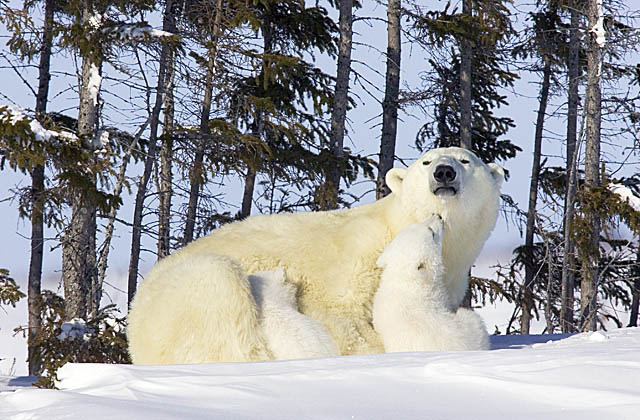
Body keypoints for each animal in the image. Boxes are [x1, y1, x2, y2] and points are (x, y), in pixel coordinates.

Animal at [127, 146, 502, 362]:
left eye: (466, 160)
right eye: (425, 161)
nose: (444, 172)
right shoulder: (352, 262)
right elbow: (340, 315)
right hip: (187, 294)